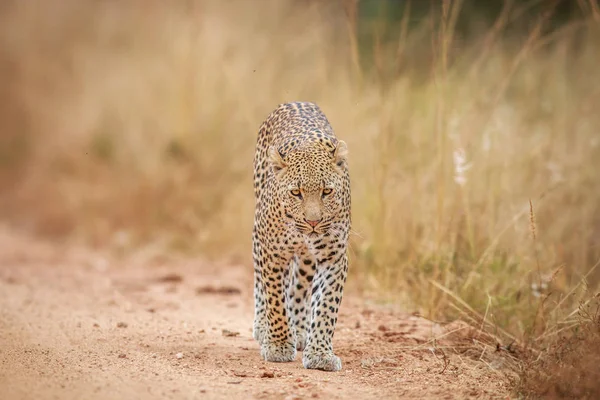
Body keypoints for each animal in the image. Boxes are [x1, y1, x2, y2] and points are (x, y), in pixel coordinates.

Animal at [250, 101, 352, 372]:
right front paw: (278, 345)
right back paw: (263, 327)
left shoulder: (334, 256)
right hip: (258, 236)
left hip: (306, 259)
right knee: (261, 282)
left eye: (327, 191)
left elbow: (326, 304)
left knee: (299, 288)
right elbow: (276, 300)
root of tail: (296, 102)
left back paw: (301, 331)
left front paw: (320, 354)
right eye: (296, 192)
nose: (313, 222)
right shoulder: (273, 253)